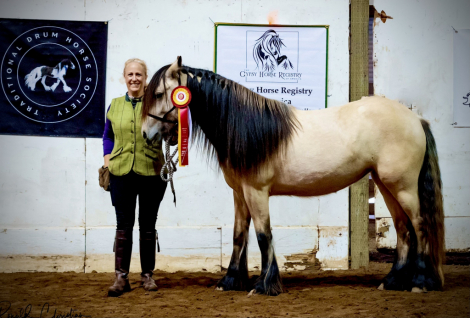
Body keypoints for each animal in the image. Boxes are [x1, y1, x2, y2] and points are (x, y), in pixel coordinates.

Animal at [140, 56, 444, 296]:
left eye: (159, 94)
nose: (145, 134)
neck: (247, 128)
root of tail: (416, 120)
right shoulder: (239, 193)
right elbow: (239, 234)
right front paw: (229, 281)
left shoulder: (256, 191)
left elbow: (263, 235)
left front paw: (265, 285)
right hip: (385, 184)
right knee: (403, 228)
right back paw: (392, 281)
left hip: (403, 187)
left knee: (419, 225)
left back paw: (419, 282)